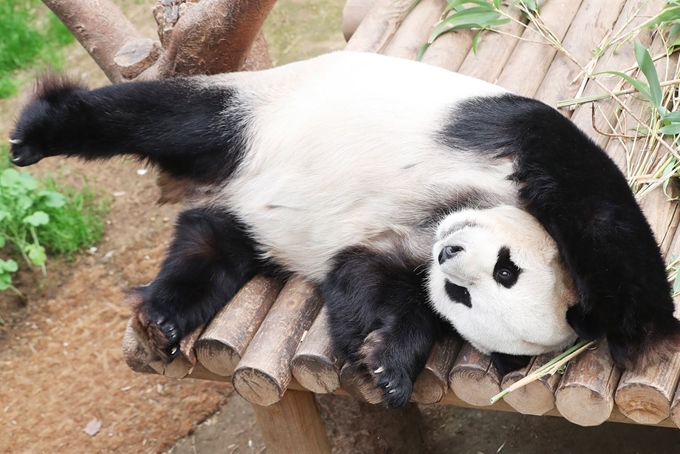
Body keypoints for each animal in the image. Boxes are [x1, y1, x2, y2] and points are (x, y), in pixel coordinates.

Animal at [9, 50, 680, 408]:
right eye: (506, 267)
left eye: (465, 295)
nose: (450, 258)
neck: (443, 216)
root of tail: (231, 193)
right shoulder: (527, 142)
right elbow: (603, 220)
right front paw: (640, 328)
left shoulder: (396, 252)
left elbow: (362, 278)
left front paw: (383, 362)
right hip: (262, 112)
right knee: (164, 117)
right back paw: (41, 130)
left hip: (249, 226)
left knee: (209, 242)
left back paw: (166, 311)